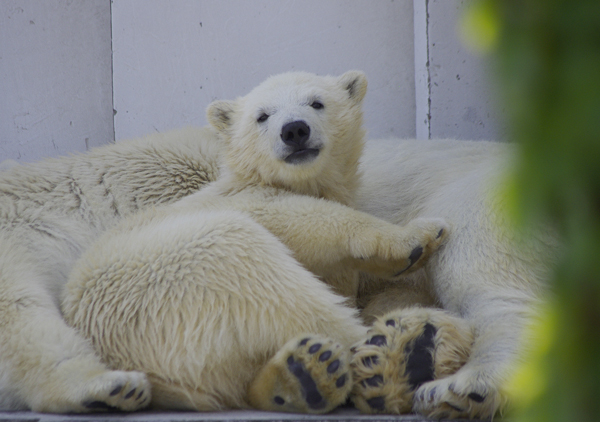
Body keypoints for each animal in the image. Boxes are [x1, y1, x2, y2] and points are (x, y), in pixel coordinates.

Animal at [0, 71, 448, 412]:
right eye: (262, 116)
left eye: (317, 103)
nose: (294, 130)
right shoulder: (237, 197)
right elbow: (299, 217)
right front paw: (416, 239)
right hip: (170, 276)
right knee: (266, 278)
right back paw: (398, 354)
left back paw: (303, 375)